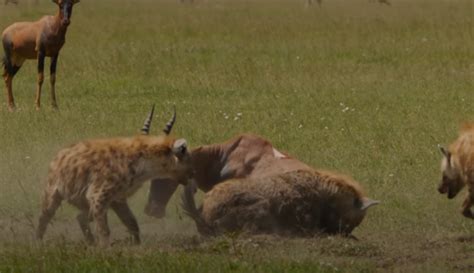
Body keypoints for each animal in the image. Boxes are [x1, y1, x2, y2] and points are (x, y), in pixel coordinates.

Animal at [35, 105, 194, 244]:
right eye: (185, 153)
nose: (193, 172)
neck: (139, 163)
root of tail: (59, 154)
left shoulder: (118, 198)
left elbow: (132, 222)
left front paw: (136, 245)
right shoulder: (98, 195)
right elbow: (104, 231)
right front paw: (105, 250)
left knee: (80, 217)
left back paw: (90, 243)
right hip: (53, 192)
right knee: (44, 217)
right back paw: (38, 242)